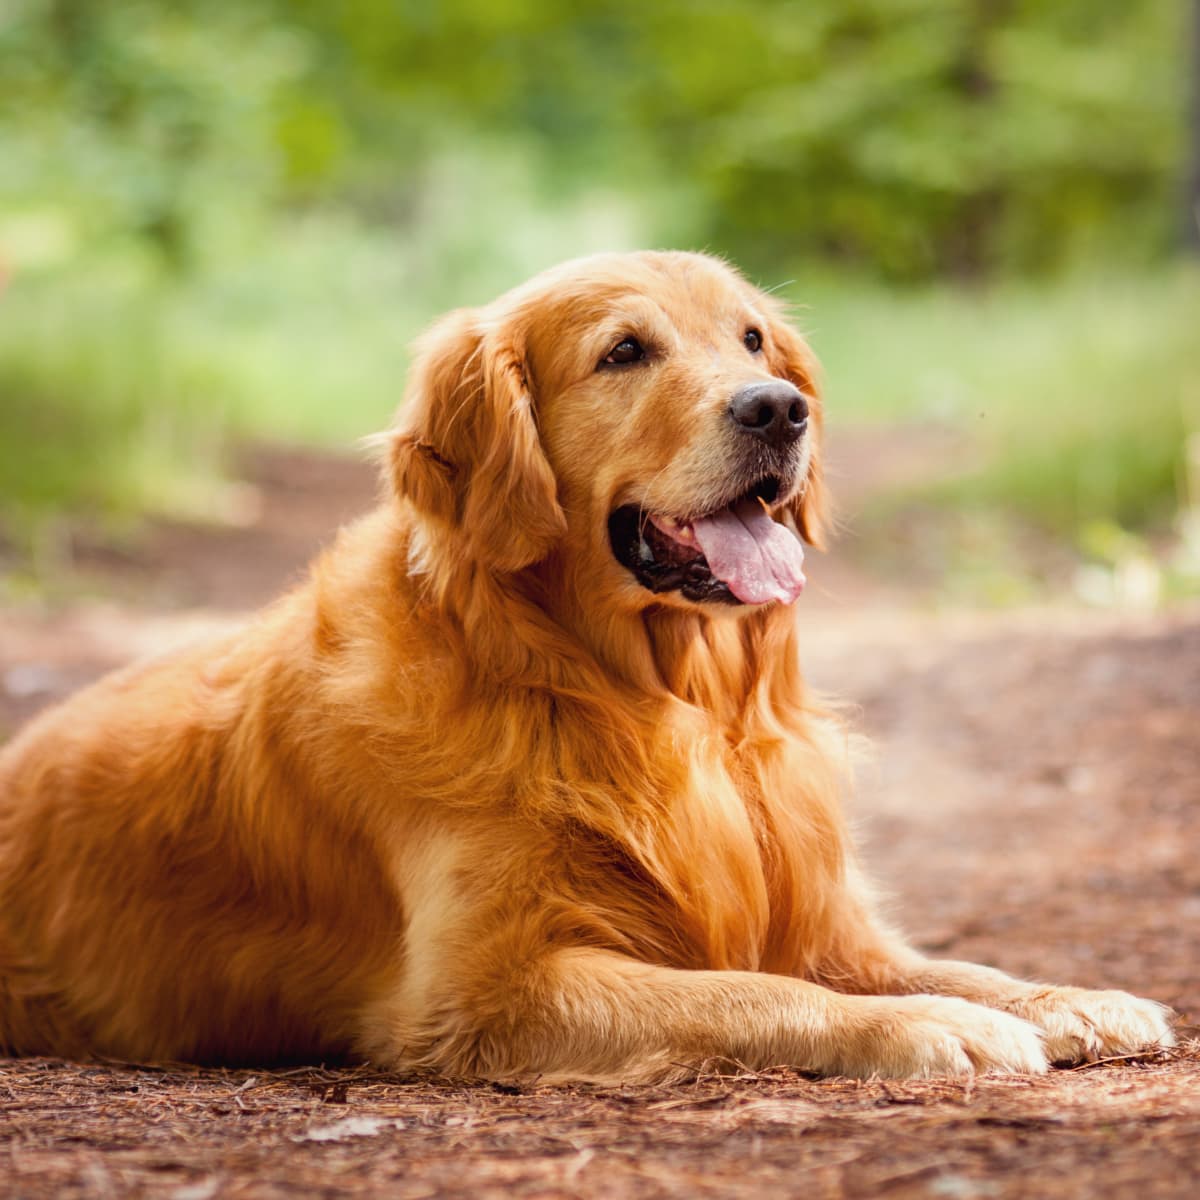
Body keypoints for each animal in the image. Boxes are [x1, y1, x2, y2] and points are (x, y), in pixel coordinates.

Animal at [0, 253, 1171, 1080]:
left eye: (754, 341)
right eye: (623, 352)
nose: (778, 408)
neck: (642, 696)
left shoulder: (824, 916)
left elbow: (948, 962)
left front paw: (1069, 998)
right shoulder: (488, 989)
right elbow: (746, 993)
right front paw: (932, 1026)